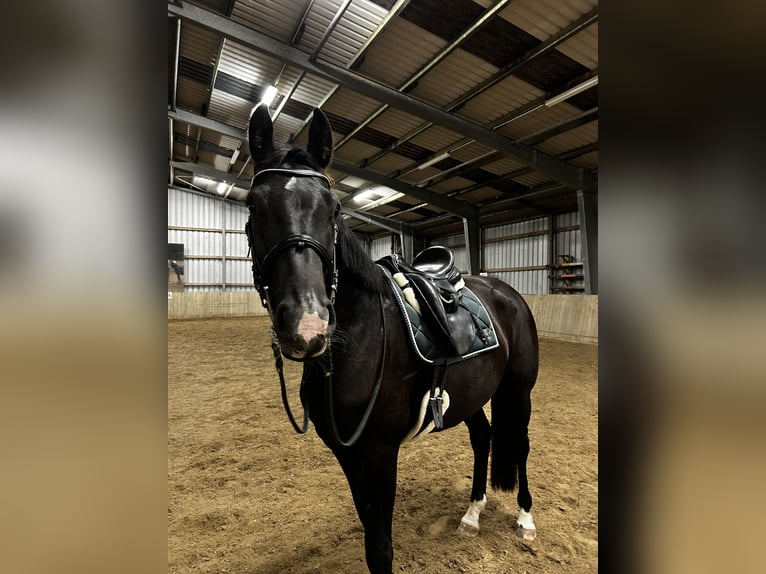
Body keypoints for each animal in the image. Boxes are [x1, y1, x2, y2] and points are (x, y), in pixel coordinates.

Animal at [244, 104, 539, 574]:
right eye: (254, 204)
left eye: (333, 209)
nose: (307, 327)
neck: (356, 340)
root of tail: (505, 290)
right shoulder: (349, 454)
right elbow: (370, 532)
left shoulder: (380, 453)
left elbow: (380, 547)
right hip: (473, 393)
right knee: (483, 437)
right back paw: (472, 514)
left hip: (518, 390)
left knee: (521, 444)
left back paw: (526, 519)